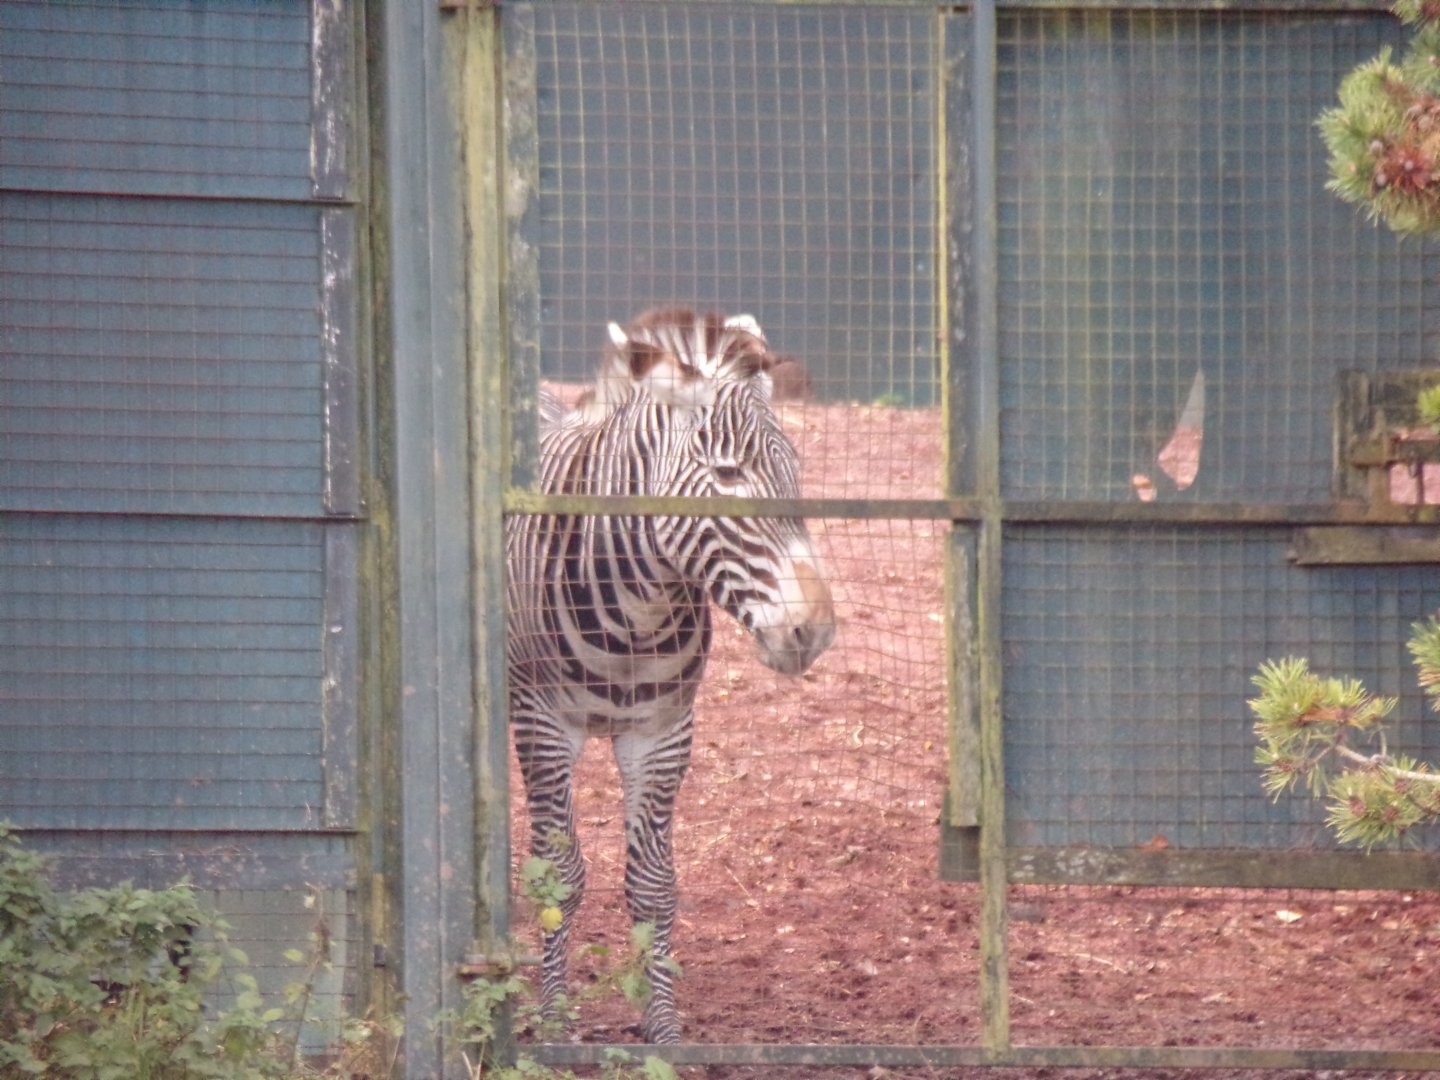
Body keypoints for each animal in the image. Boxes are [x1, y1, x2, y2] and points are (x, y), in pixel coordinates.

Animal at [506, 308, 836, 1043]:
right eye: (726, 473)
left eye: (795, 472)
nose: (814, 629)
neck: (635, 616)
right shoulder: (545, 724)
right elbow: (560, 874)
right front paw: (554, 1021)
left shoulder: (662, 731)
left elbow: (654, 885)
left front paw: (661, 1028)